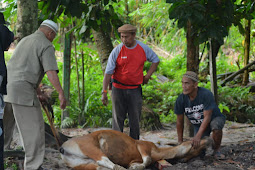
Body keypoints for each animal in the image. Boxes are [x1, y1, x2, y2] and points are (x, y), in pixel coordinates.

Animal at [60, 129, 213, 169]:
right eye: (194, 143)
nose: (208, 139)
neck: (158, 151)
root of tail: (63, 147)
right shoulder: (143, 145)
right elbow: (147, 159)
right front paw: (136, 168)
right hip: (90, 147)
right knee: (106, 161)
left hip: (84, 164)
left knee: (101, 166)